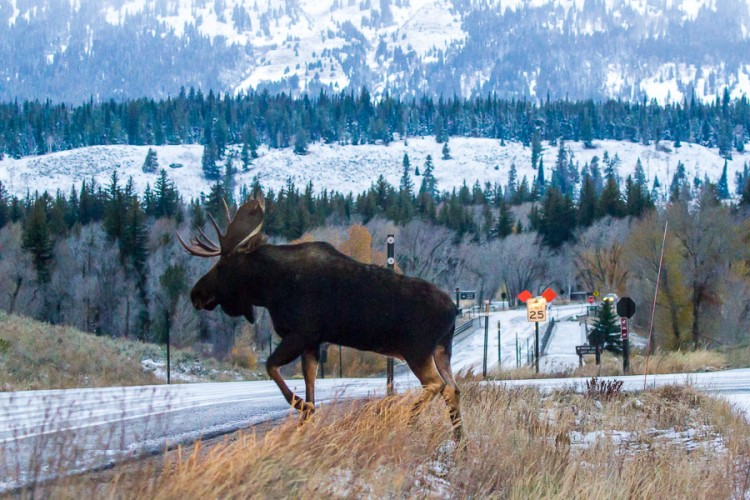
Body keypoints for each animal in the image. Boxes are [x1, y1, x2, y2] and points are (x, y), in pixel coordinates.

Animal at [181, 194, 464, 438]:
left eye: (222, 265)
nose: (196, 293)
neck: (270, 288)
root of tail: (453, 310)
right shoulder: (312, 342)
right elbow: (310, 384)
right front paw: (305, 419)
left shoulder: (301, 332)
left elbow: (271, 366)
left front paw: (300, 405)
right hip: (441, 350)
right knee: (452, 388)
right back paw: (459, 442)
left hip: (417, 349)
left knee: (435, 384)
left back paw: (410, 419)